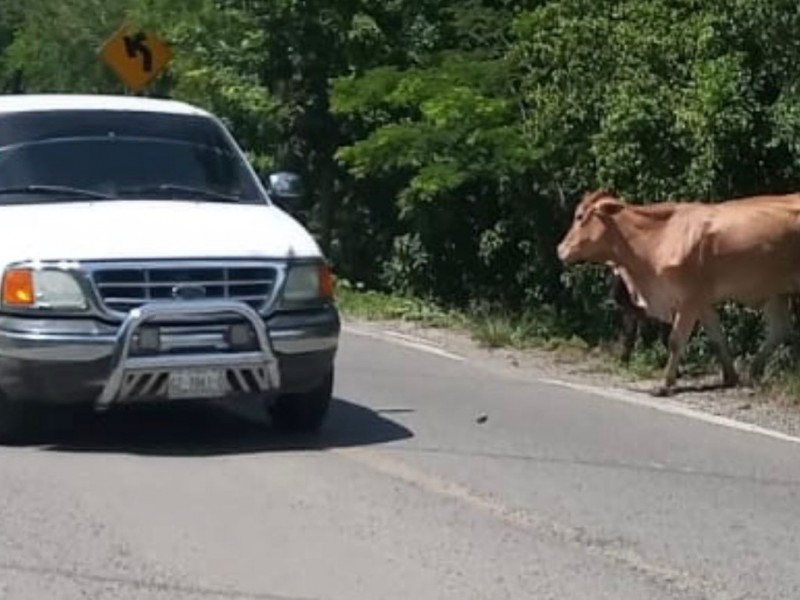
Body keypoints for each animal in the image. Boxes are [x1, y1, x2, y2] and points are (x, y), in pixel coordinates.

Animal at [556, 188, 800, 394]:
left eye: (579, 216)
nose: (560, 249)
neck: (658, 237)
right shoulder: (701, 301)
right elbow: (717, 338)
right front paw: (730, 376)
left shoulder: (689, 299)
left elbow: (675, 340)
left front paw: (665, 384)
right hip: (774, 292)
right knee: (780, 329)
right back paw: (754, 371)